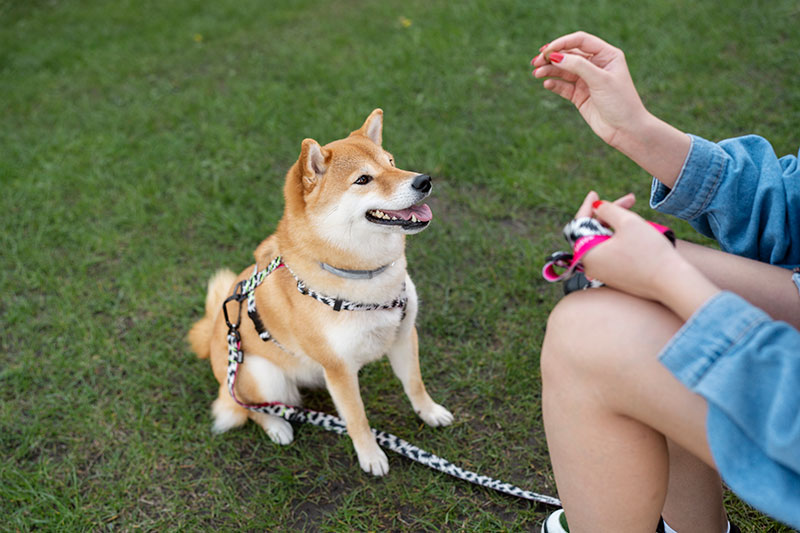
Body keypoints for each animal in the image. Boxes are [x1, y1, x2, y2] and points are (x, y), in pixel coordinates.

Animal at [184, 108, 454, 474]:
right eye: (363, 180)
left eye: (391, 162)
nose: (423, 181)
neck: (365, 275)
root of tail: (213, 332)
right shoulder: (338, 369)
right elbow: (357, 418)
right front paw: (371, 456)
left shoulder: (403, 333)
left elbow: (415, 384)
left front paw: (430, 412)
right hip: (262, 375)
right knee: (246, 409)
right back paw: (278, 426)